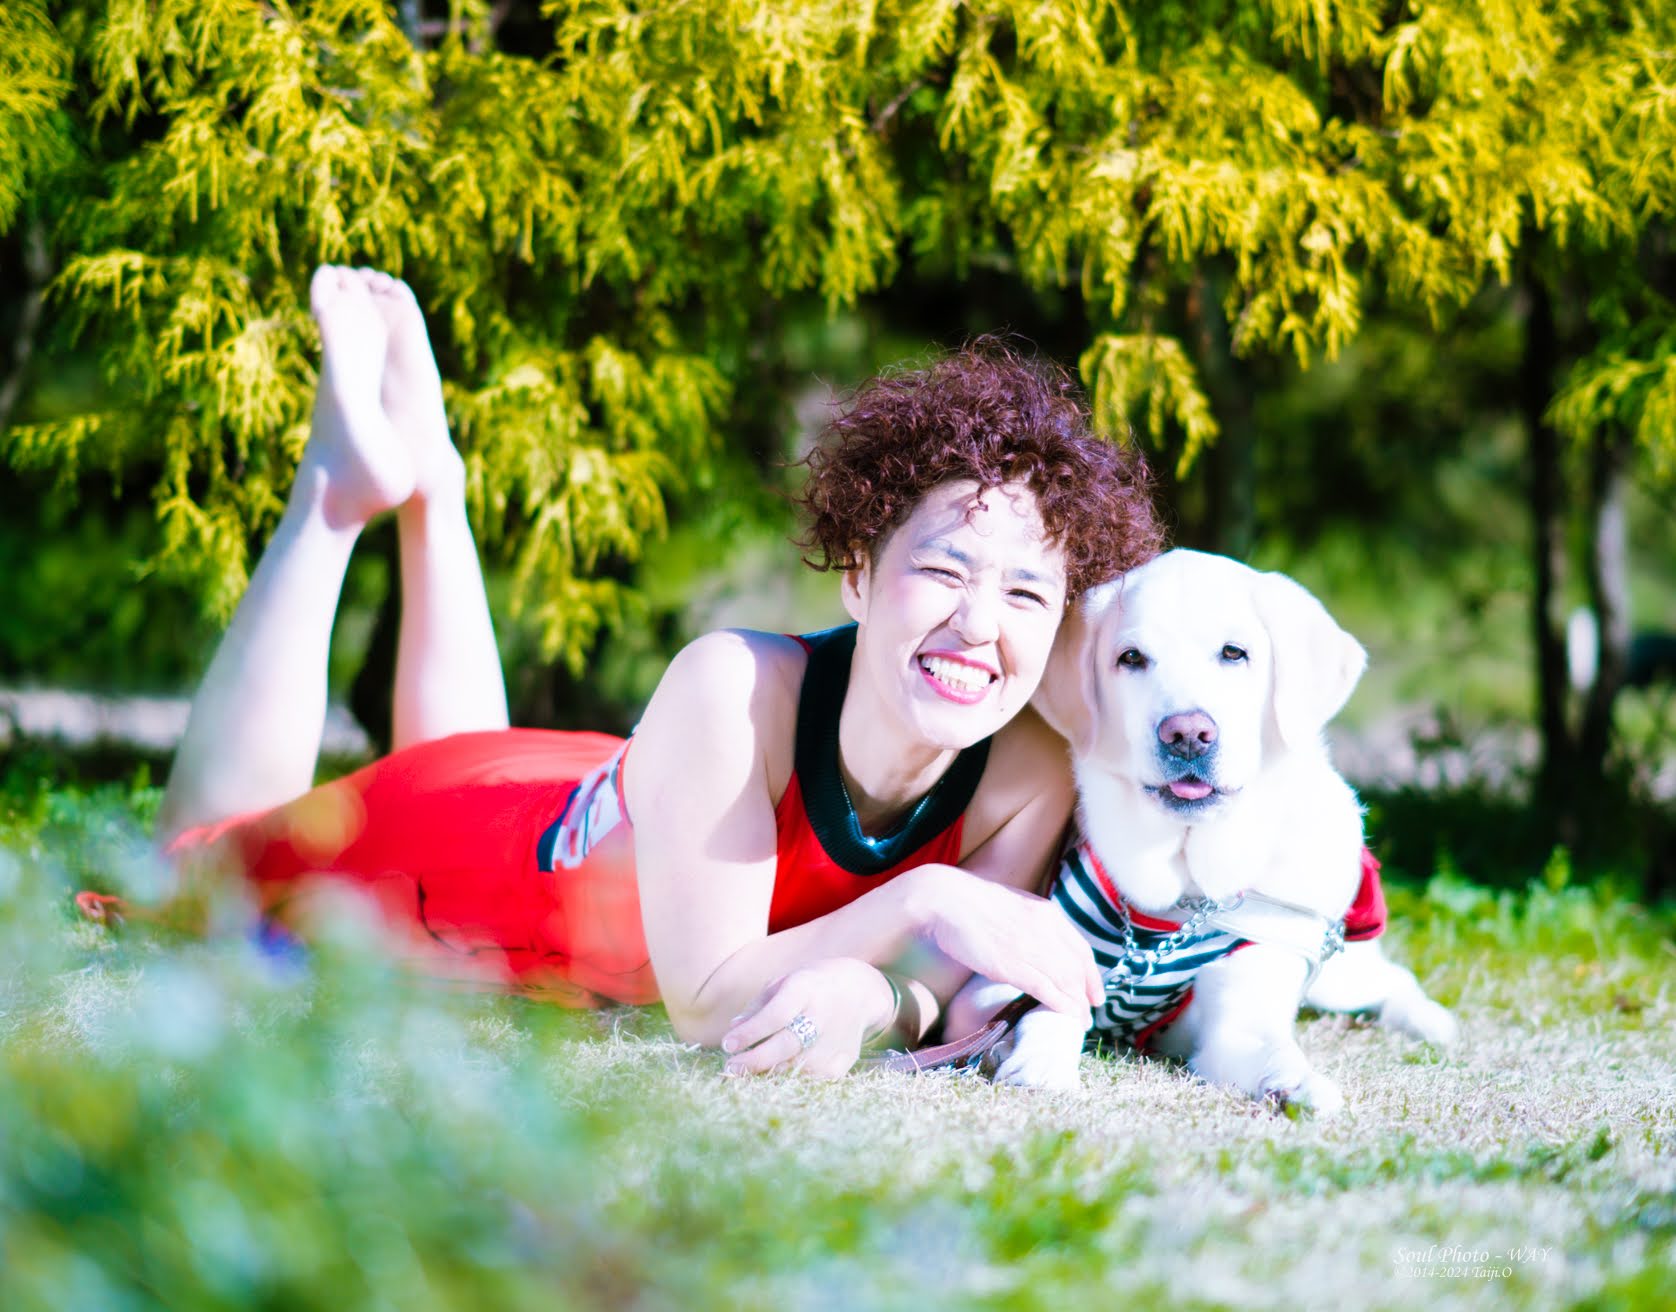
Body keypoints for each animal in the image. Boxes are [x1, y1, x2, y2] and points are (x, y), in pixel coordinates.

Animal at [965, 549, 1461, 1112]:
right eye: (1131, 658)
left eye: (1233, 653)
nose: (1186, 734)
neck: (1184, 896)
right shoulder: (999, 979)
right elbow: (1049, 1006)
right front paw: (1040, 1060)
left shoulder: (1241, 1015)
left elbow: (1274, 1050)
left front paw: (1301, 1085)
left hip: (1335, 968)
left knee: (1393, 979)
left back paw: (1432, 1023)